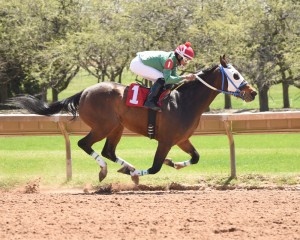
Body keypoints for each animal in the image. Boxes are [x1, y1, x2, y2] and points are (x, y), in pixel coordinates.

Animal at [10, 55, 256, 184]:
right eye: (235, 75)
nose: (252, 92)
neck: (182, 101)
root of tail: (85, 91)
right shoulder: (166, 140)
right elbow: (155, 167)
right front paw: (140, 173)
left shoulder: (181, 139)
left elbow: (195, 157)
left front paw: (172, 163)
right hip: (104, 125)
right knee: (84, 144)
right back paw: (107, 170)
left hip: (117, 127)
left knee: (109, 151)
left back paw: (126, 167)